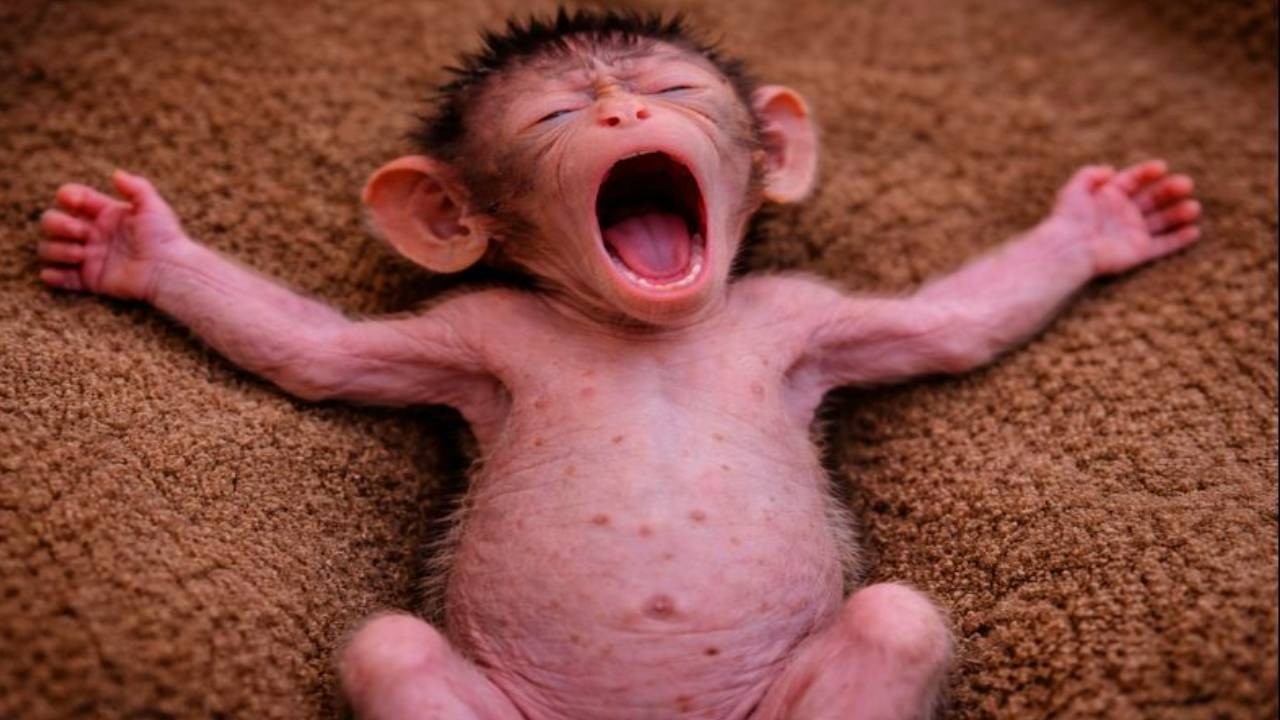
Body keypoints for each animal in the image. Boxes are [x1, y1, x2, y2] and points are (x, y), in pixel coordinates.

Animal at [35, 9, 1203, 720]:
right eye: (555, 111)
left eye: (672, 88)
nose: (622, 111)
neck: (648, 330)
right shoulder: (470, 331)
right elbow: (324, 353)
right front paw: (138, 250)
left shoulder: (805, 315)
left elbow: (952, 324)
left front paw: (1097, 226)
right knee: (391, 651)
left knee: (896, 619)